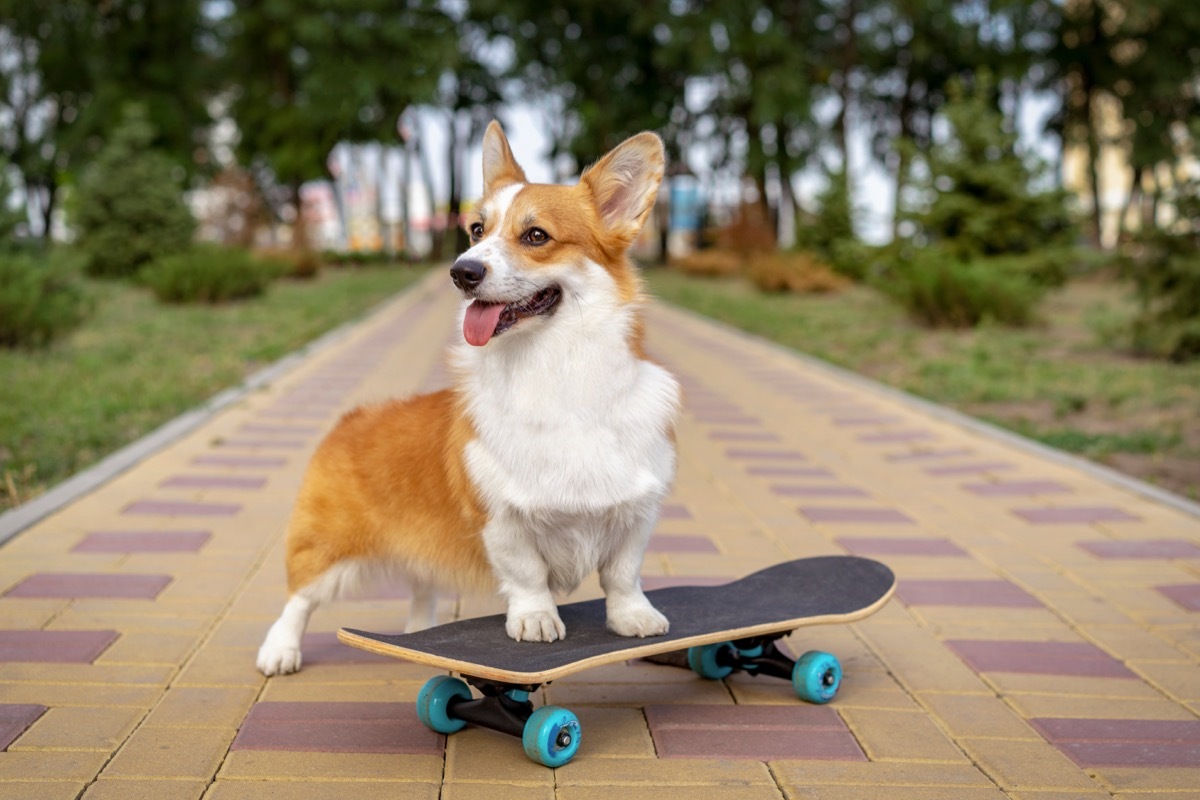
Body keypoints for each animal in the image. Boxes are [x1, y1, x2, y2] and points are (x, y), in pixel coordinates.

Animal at [256, 120, 681, 676]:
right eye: (477, 230)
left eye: (536, 235)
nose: (461, 272)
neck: (556, 371)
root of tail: (351, 419)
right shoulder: (500, 516)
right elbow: (527, 575)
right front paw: (536, 620)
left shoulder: (636, 510)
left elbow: (623, 574)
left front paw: (634, 618)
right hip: (329, 548)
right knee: (299, 597)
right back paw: (279, 650)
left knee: (421, 586)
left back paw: (420, 633)